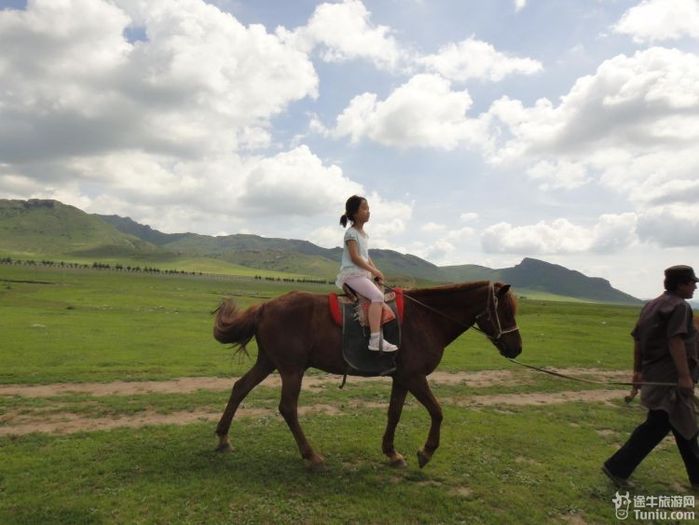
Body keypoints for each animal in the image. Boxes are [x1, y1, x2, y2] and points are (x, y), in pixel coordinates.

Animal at [212, 280, 520, 468]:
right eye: (506, 312)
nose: (517, 348)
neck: (427, 318)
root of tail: (265, 306)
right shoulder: (415, 377)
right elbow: (437, 411)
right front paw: (426, 452)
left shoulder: (402, 378)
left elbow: (394, 413)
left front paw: (392, 453)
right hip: (291, 369)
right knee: (287, 407)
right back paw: (311, 455)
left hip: (269, 362)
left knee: (240, 388)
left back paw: (223, 439)